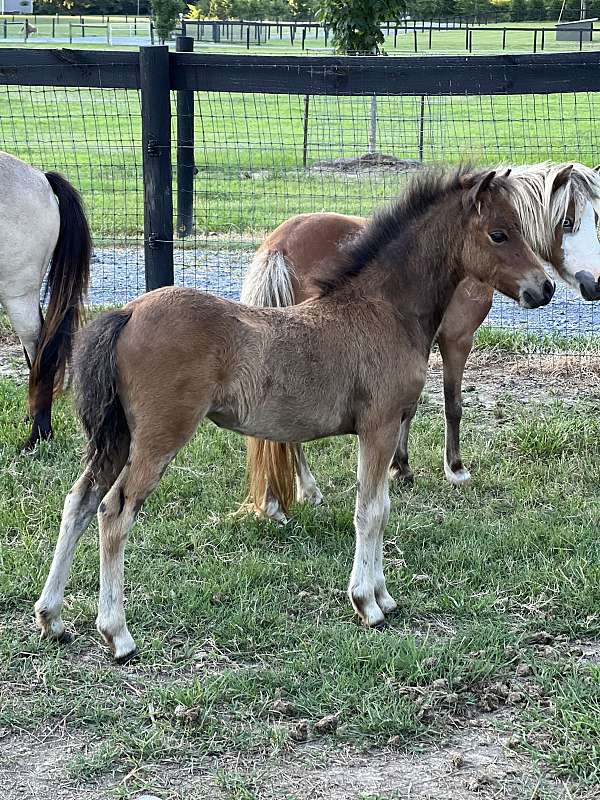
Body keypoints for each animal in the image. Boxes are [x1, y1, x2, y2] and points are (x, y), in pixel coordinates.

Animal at [35, 166, 556, 660]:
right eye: (499, 234)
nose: (546, 287)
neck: (385, 309)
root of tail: (127, 314)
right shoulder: (380, 426)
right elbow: (371, 511)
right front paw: (367, 604)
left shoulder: (383, 430)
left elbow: (382, 507)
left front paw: (385, 597)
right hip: (159, 439)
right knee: (114, 512)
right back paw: (117, 634)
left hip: (118, 437)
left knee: (79, 502)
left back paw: (52, 618)